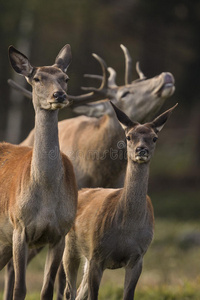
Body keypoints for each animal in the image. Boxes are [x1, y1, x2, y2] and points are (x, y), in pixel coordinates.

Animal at [0, 43, 79, 298]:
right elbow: (20, 288)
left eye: (65, 78)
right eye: (37, 78)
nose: (59, 95)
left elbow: (47, 289)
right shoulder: (19, 227)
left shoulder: (60, 233)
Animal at [63, 101, 178, 300]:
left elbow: (128, 295)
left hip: (86, 258)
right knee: (69, 291)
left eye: (154, 138)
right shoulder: (97, 255)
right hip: (71, 247)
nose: (141, 150)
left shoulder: (138, 258)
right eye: (129, 136)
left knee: (79, 292)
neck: (126, 230)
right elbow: (93, 295)